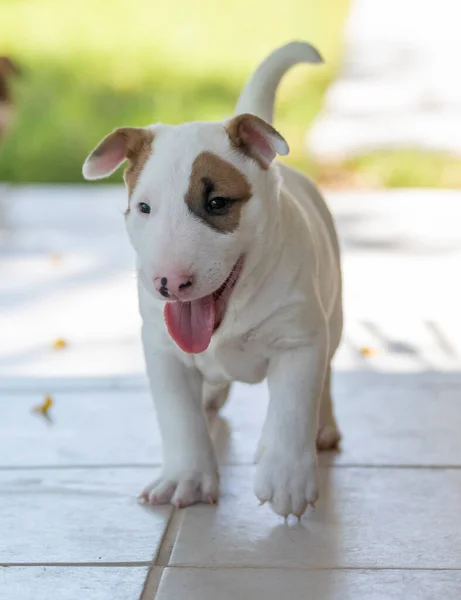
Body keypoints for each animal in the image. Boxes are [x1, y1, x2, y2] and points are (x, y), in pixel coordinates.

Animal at [82, 42, 342, 520]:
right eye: (143, 207)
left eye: (218, 202)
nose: (168, 282)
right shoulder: (164, 350)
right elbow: (179, 418)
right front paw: (185, 478)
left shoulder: (299, 340)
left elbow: (292, 406)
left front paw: (286, 480)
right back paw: (211, 398)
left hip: (334, 315)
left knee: (327, 373)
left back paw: (322, 428)